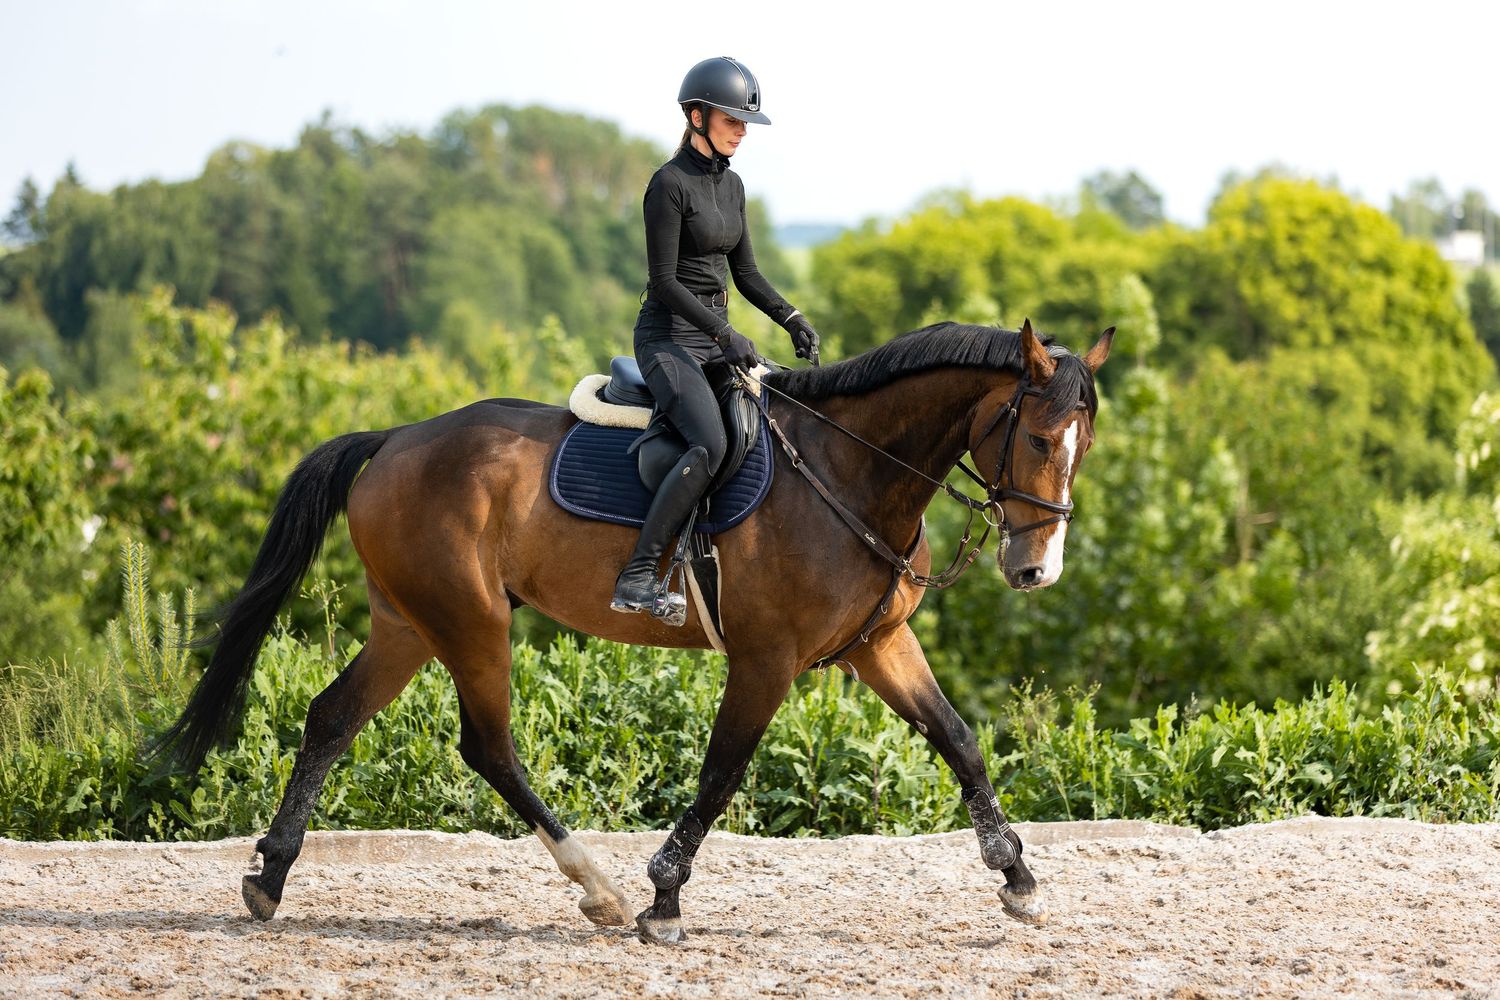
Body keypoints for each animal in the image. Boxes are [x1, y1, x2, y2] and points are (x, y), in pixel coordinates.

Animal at [158, 317, 1113, 943]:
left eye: (1084, 445)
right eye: (1036, 438)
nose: (1036, 570)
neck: (848, 471)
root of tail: (396, 439)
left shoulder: (879, 646)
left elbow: (959, 741)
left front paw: (1019, 880)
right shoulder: (766, 660)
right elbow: (723, 773)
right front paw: (664, 900)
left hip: (411, 622)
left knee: (331, 717)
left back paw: (269, 877)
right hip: (470, 622)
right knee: (488, 745)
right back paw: (602, 891)